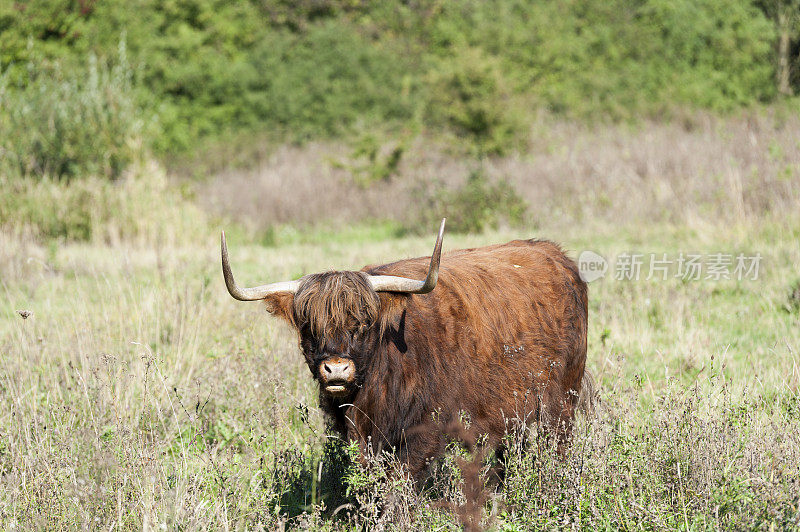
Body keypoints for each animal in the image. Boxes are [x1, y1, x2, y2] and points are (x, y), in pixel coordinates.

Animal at [223, 218, 588, 480]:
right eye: (308, 326)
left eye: (364, 323)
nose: (337, 369)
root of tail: (555, 254)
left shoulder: (424, 432)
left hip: (562, 403)